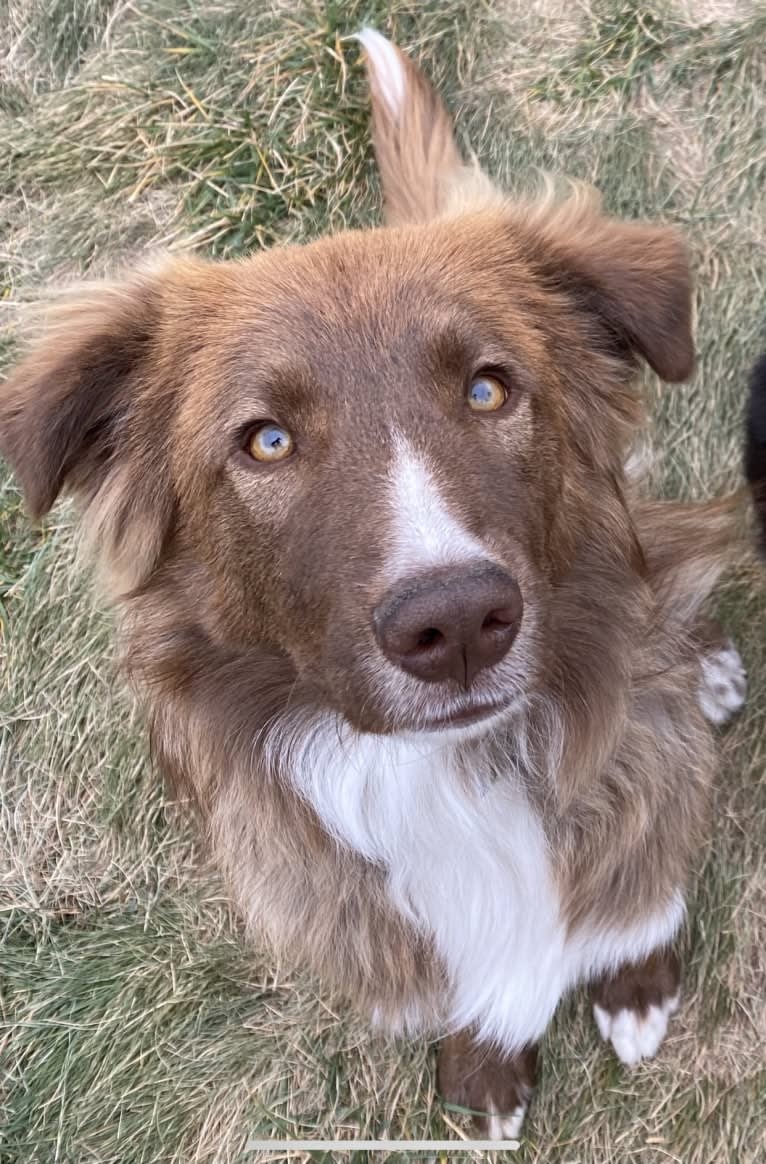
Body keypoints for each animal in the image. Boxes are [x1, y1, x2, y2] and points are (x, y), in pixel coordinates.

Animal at [0, 31, 745, 1140]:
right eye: (265, 440)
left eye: (487, 387)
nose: (457, 620)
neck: (460, 781)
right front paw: (486, 1078)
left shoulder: (638, 824)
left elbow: (639, 906)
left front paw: (637, 987)